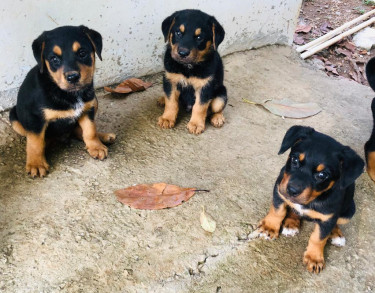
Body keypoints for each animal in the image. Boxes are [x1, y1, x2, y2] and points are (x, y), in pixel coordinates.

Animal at [10, 25, 116, 177]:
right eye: (54, 59)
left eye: (82, 53)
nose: (72, 77)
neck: (67, 93)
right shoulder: (35, 118)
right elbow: (35, 142)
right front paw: (36, 164)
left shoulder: (88, 108)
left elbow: (90, 130)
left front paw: (95, 147)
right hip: (13, 116)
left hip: (94, 100)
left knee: (77, 131)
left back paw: (104, 137)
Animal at [256, 125, 364, 272]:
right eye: (295, 160)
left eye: (322, 175)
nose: (292, 190)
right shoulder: (279, 191)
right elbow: (277, 212)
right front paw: (269, 228)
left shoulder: (328, 217)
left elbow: (318, 237)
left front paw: (314, 258)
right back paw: (291, 223)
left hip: (349, 211)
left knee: (336, 223)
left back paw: (336, 235)